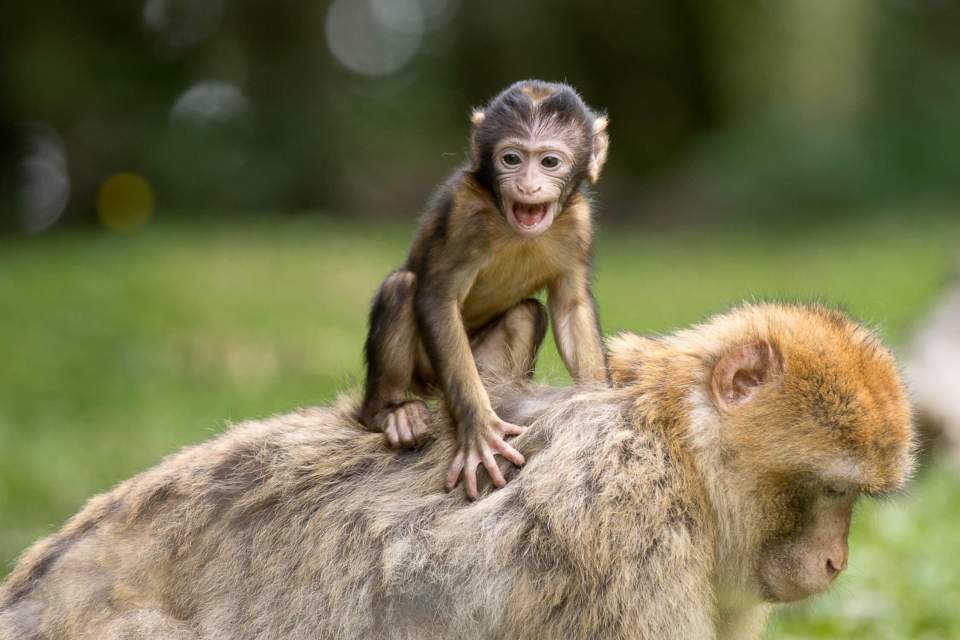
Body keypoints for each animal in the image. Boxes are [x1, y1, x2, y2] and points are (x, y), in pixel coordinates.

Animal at [356, 81, 612, 500]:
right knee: (402, 287)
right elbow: (437, 299)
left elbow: (570, 307)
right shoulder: (464, 213)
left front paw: (596, 407)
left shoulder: (579, 223)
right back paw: (389, 413)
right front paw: (478, 429)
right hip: (427, 372)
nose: (527, 185)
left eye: (549, 162)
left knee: (526, 314)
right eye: (511, 158)